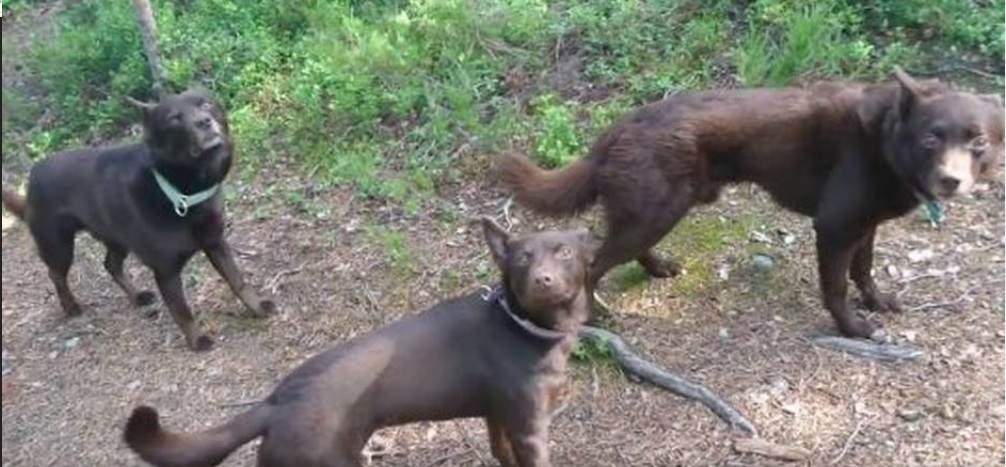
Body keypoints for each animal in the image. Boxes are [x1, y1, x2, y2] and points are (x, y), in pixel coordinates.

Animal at [1, 88, 274, 351]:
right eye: (174, 118)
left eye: (206, 104)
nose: (204, 122)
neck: (181, 192)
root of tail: (32, 176)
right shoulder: (166, 271)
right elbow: (182, 311)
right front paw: (197, 340)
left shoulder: (216, 243)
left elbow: (238, 281)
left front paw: (258, 307)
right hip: (58, 245)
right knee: (56, 275)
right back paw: (71, 307)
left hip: (116, 238)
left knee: (111, 265)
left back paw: (137, 297)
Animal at [122, 217, 593, 467]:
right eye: (522, 259)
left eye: (564, 252)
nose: (542, 280)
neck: (523, 325)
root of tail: (276, 403)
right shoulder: (532, 428)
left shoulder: (497, 415)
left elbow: (500, 452)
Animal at [496, 68, 1004, 340]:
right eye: (931, 137)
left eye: (978, 140)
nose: (951, 180)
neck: (883, 139)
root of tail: (623, 124)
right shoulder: (835, 227)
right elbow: (837, 287)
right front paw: (853, 328)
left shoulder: (866, 226)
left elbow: (864, 271)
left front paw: (878, 302)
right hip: (656, 211)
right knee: (596, 263)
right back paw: (598, 315)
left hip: (655, 212)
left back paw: (658, 268)